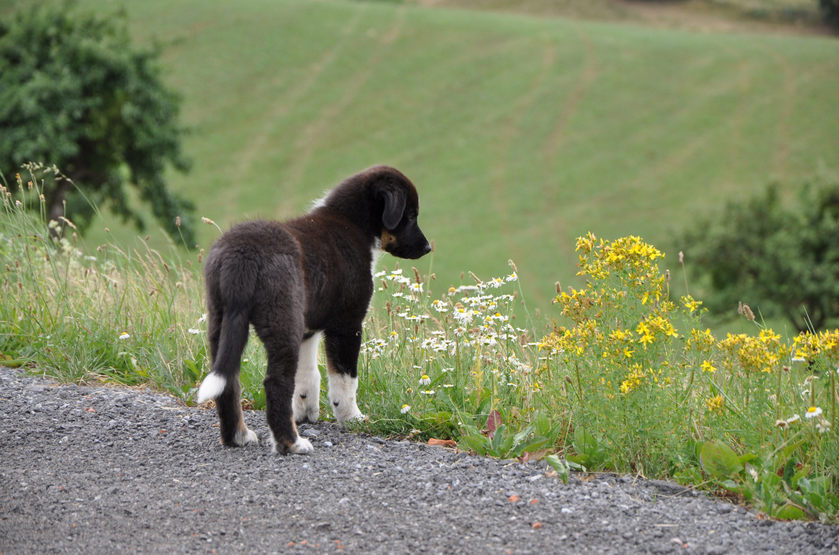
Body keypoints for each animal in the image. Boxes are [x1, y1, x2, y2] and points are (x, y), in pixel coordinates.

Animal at [196, 167, 430, 454]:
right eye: (411, 215)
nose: (428, 248)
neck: (353, 224)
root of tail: (241, 257)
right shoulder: (347, 322)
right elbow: (344, 377)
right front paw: (351, 417)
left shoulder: (308, 328)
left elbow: (308, 374)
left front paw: (305, 412)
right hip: (283, 319)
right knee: (276, 382)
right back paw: (291, 443)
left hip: (221, 318)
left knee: (229, 380)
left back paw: (238, 437)